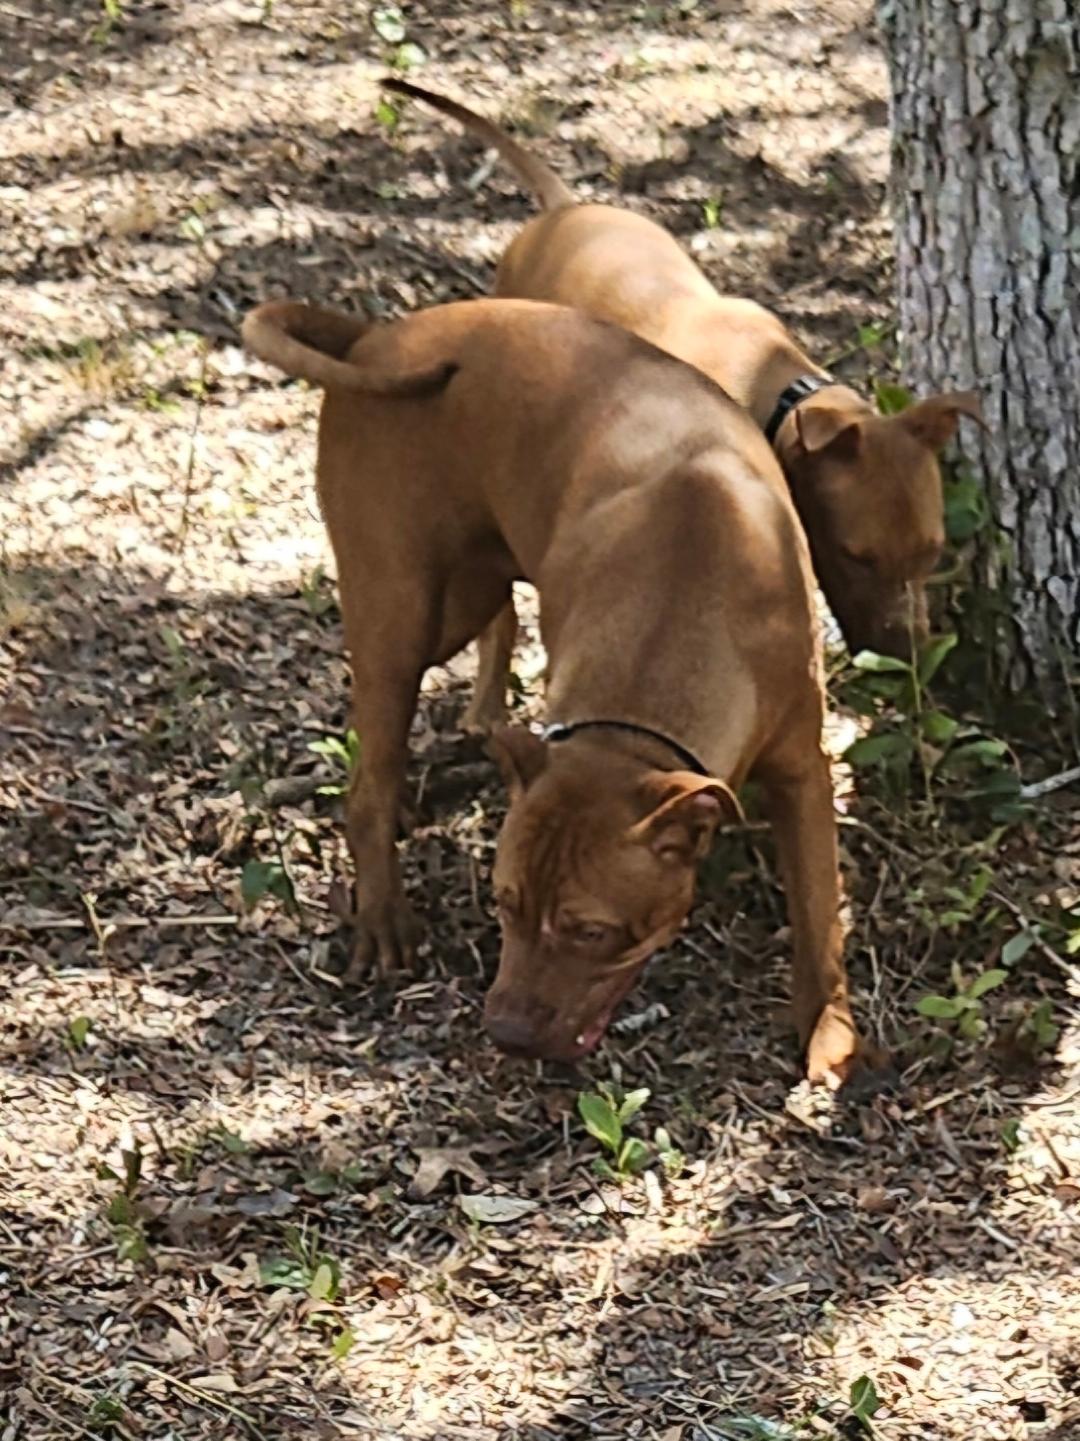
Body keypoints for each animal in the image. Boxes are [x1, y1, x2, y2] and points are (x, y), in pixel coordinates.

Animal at [242, 296, 862, 1086]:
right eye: (505, 903)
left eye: (590, 930)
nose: (504, 1031)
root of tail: (378, 337)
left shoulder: (804, 768)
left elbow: (818, 913)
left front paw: (829, 1031)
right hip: (404, 615)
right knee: (369, 772)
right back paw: (382, 909)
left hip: (465, 586)